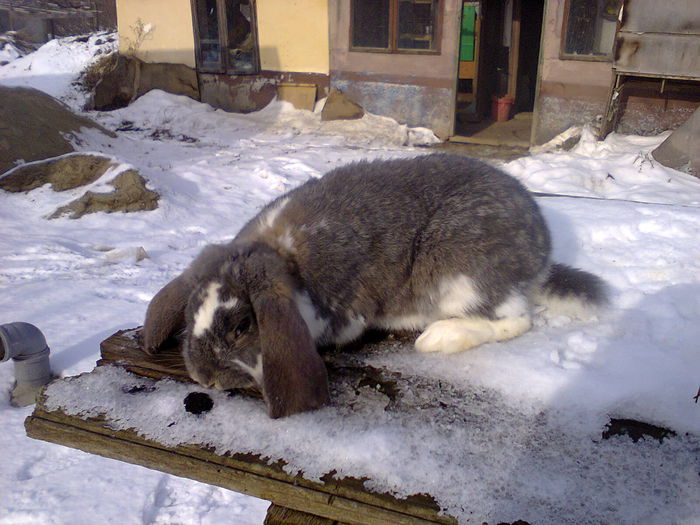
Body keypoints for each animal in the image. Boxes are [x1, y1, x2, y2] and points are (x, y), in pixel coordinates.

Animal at [144, 152, 608, 418]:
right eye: (190, 314)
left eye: (242, 326)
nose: (205, 377)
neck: (284, 257)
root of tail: (540, 256)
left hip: (460, 272)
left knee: (515, 320)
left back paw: (437, 338)